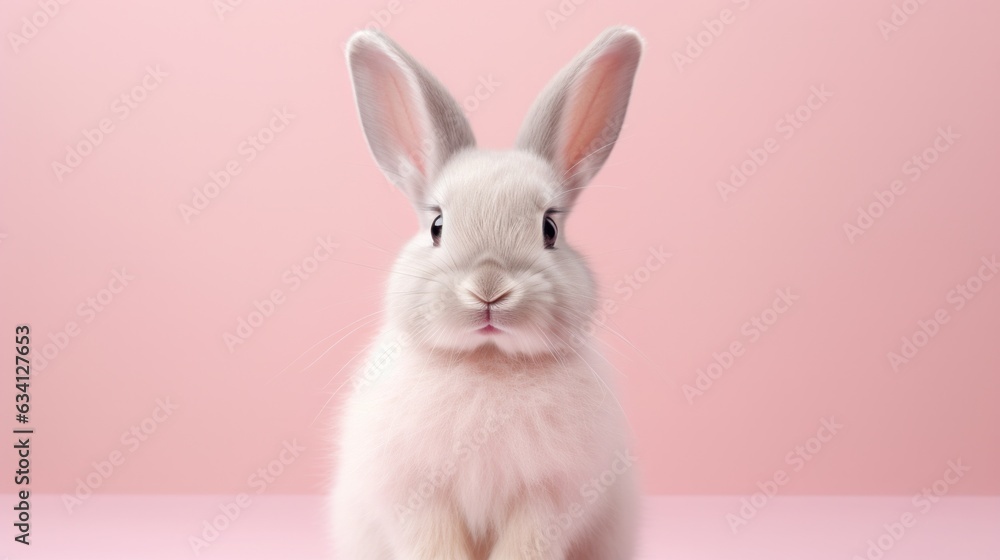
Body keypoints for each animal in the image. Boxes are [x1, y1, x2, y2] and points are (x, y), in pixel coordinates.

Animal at [332, 26, 644, 560]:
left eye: (549, 229)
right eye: (436, 226)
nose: (489, 290)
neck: (488, 361)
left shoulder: (545, 499)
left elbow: (525, 545)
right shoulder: (418, 497)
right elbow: (435, 544)